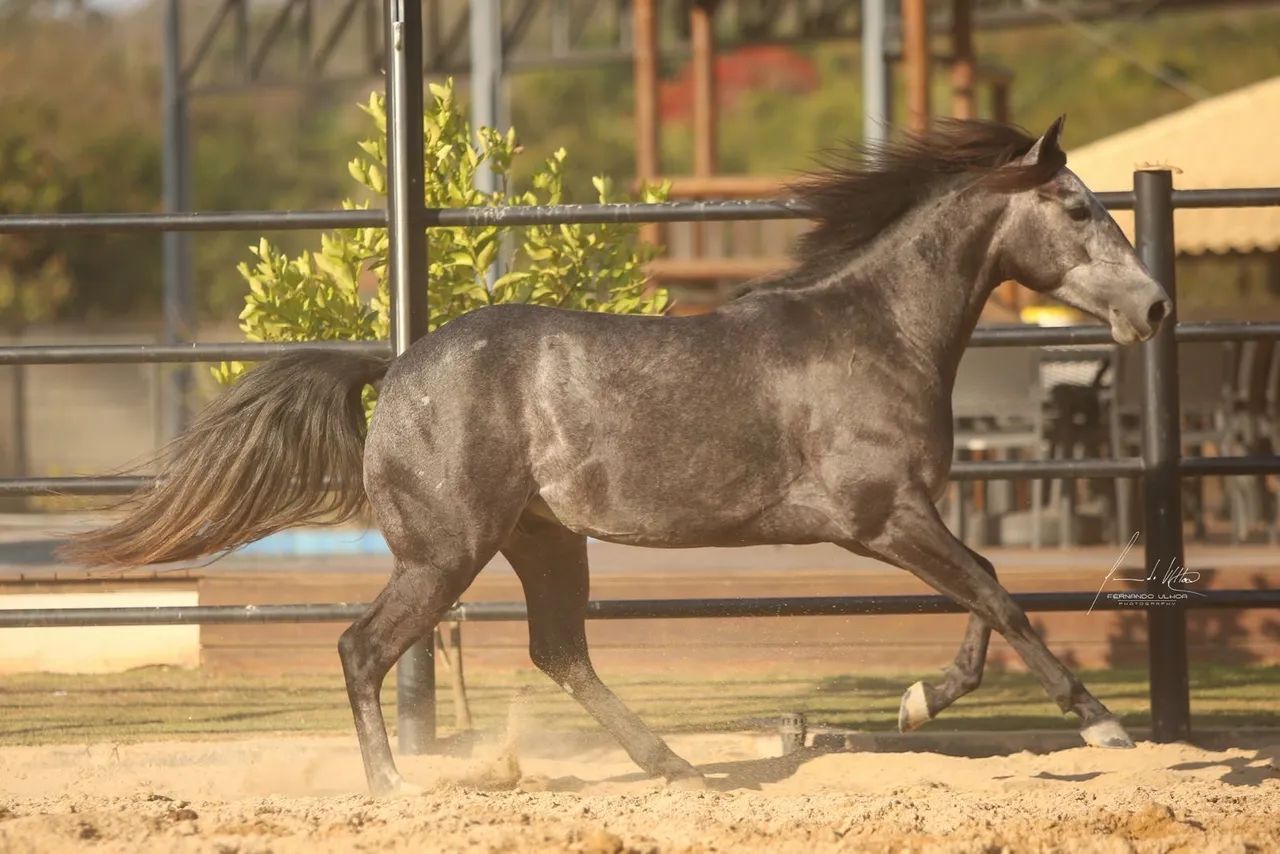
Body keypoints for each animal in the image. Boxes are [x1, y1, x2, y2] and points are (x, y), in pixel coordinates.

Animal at [63, 116, 1171, 794]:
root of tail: (399, 361)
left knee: (560, 651)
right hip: (446, 553)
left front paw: (916, 702)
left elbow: (985, 601)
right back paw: (394, 786)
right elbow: (998, 594)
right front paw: (1103, 724)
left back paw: (674, 764)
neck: (874, 330)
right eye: (1077, 208)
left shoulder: (911, 513)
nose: (1156, 306)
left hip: (545, 542)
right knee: (362, 649)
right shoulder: (880, 516)